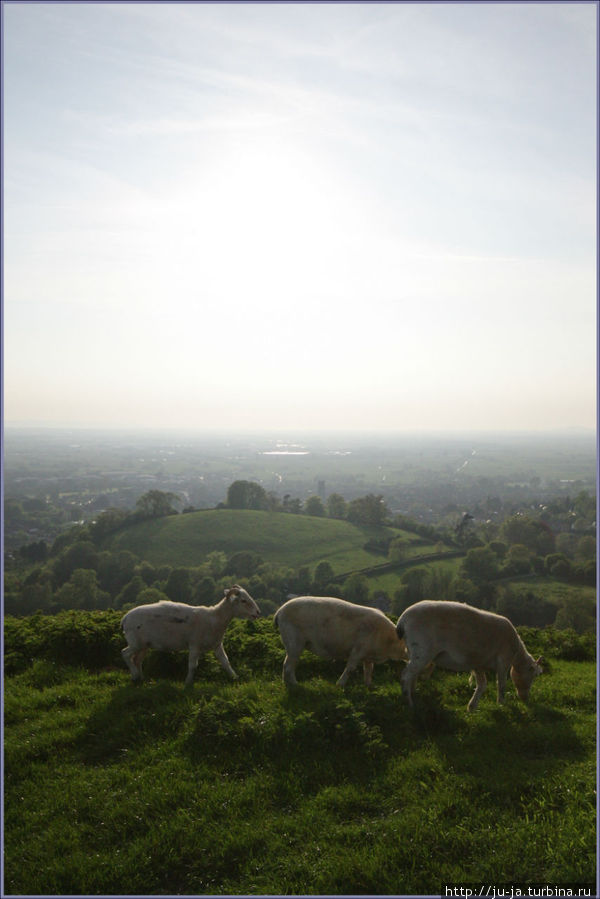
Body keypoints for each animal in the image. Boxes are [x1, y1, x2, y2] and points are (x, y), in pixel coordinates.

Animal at [122, 588, 260, 684]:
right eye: (243, 600)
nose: (258, 612)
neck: (214, 618)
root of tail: (125, 618)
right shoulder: (194, 644)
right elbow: (193, 665)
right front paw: (188, 682)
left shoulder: (216, 645)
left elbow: (226, 662)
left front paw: (235, 678)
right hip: (135, 642)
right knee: (125, 654)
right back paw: (135, 675)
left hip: (144, 645)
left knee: (137, 660)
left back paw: (140, 678)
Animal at [274, 596, 408, 688]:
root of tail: (279, 612)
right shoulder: (358, 649)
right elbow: (350, 668)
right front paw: (340, 684)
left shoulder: (368, 655)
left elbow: (368, 670)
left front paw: (369, 685)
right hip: (294, 641)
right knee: (288, 665)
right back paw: (295, 685)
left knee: (287, 664)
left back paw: (287, 684)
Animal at [396, 600, 540, 712]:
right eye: (532, 676)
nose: (525, 699)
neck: (516, 654)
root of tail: (402, 620)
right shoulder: (503, 661)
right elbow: (501, 684)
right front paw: (501, 703)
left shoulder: (479, 663)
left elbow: (482, 685)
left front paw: (472, 707)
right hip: (422, 650)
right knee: (406, 675)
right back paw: (409, 703)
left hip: (413, 651)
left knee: (413, 675)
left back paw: (414, 695)